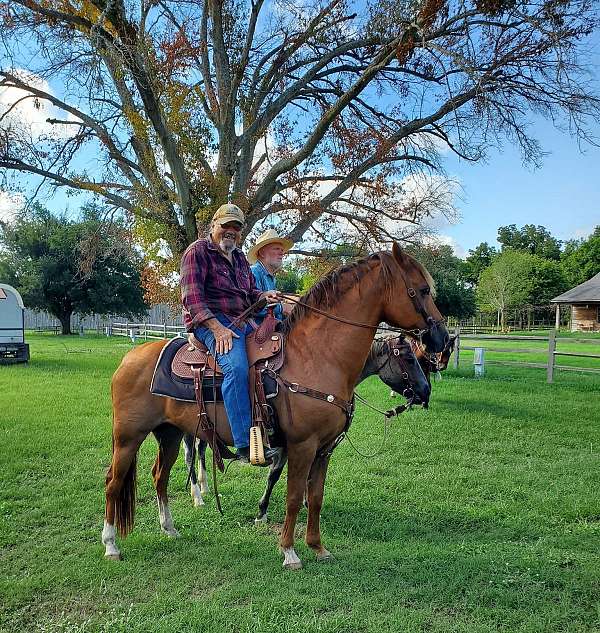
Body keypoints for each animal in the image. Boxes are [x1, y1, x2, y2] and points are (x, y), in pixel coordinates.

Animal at [185, 334, 428, 512]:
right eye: (409, 359)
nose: (426, 391)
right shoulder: (291, 442)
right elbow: (276, 475)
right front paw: (263, 509)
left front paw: (302, 501)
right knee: (190, 455)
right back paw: (197, 496)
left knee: (200, 450)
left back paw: (204, 488)